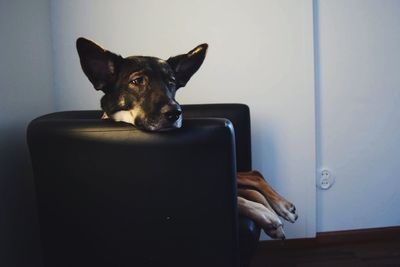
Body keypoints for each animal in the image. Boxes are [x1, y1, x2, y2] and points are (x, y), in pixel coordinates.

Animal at [77, 37, 296, 241]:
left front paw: (267, 214)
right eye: (137, 81)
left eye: (172, 83)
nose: (175, 112)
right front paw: (264, 214)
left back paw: (283, 207)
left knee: (253, 175)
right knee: (249, 183)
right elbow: (239, 200)